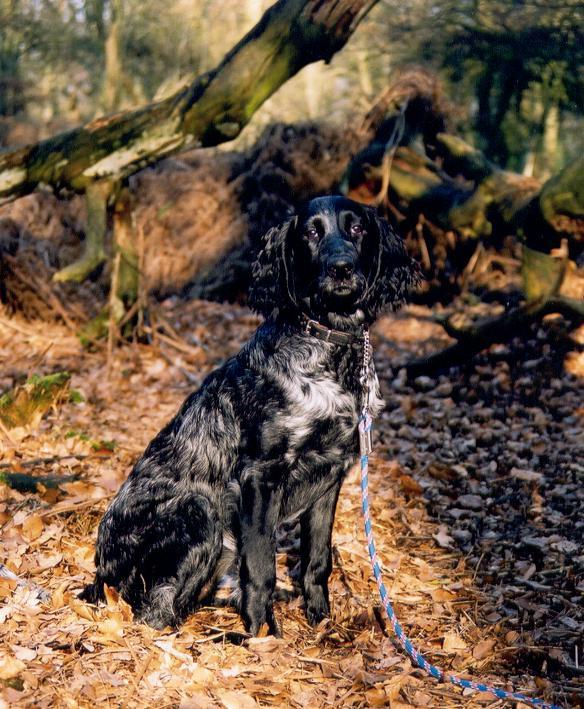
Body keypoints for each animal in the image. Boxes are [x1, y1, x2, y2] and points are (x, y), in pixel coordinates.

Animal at [81, 194, 420, 632]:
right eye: (311, 233)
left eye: (357, 228)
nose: (341, 267)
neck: (331, 353)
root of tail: (101, 573)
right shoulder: (260, 476)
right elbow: (261, 568)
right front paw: (262, 633)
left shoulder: (331, 476)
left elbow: (317, 561)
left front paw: (320, 619)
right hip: (199, 510)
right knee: (154, 612)